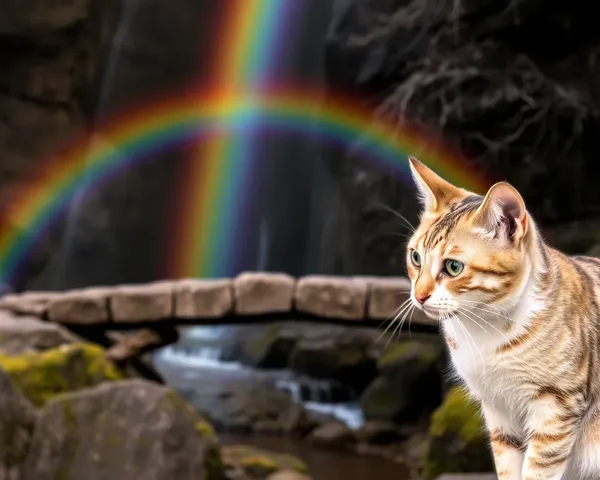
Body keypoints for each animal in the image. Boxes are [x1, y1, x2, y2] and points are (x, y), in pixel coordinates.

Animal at [406, 158, 600, 480]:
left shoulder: (555, 408)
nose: (419, 296)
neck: (485, 330)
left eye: (454, 267)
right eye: (416, 258)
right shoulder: (498, 410)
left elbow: (537, 471)